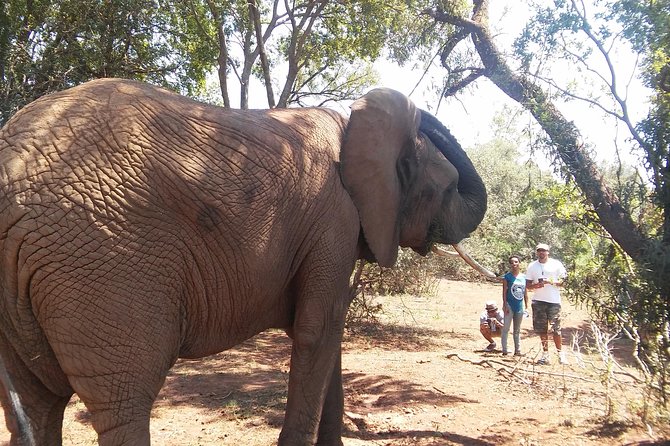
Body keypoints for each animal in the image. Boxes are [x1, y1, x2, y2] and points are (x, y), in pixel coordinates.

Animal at [0, 78, 486, 446]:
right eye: (447, 188)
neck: (353, 127)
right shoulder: (335, 219)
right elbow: (317, 330)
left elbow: (328, 334)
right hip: (102, 263)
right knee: (123, 404)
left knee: (36, 406)